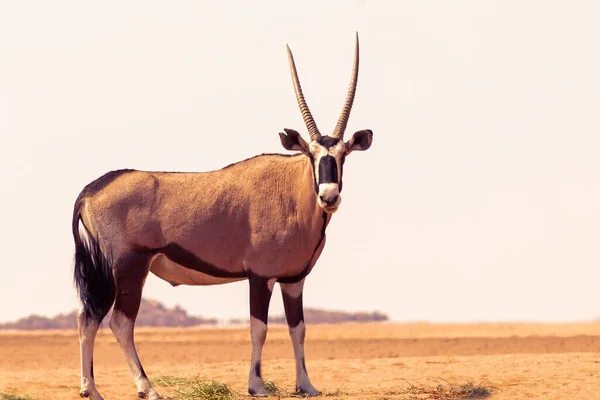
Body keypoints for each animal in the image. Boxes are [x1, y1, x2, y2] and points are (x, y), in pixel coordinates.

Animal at [72, 32, 372, 398]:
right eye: (311, 155)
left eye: (343, 155)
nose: (328, 196)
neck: (292, 193)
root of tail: (91, 190)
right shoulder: (260, 276)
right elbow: (259, 328)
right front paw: (256, 385)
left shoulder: (294, 279)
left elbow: (298, 329)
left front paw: (306, 385)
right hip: (129, 267)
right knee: (119, 321)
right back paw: (147, 388)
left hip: (105, 271)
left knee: (88, 317)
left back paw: (91, 389)